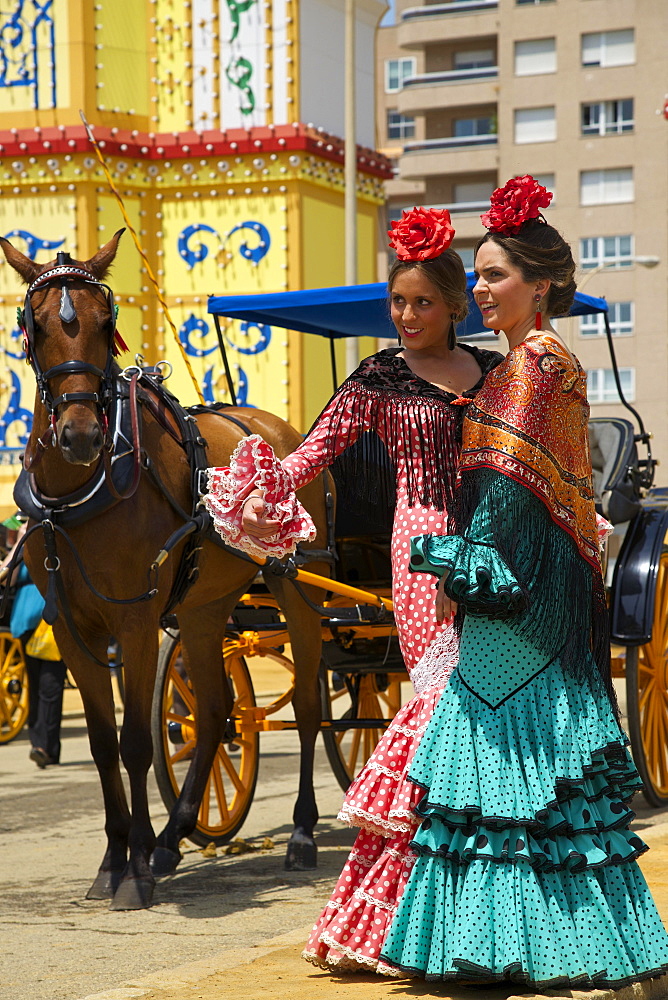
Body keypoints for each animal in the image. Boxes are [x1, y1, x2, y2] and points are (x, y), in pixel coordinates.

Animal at [1, 232, 330, 908]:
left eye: (106, 323)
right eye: (35, 324)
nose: (79, 434)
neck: (82, 490)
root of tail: (276, 425)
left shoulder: (136, 622)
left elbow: (134, 743)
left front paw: (135, 875)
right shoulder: (70, 629)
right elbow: (103, 744)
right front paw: (115, 859)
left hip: (295, 584)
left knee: (311, 701)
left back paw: (302, 833)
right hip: (204, 610)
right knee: (215, 711)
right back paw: (174, 836)